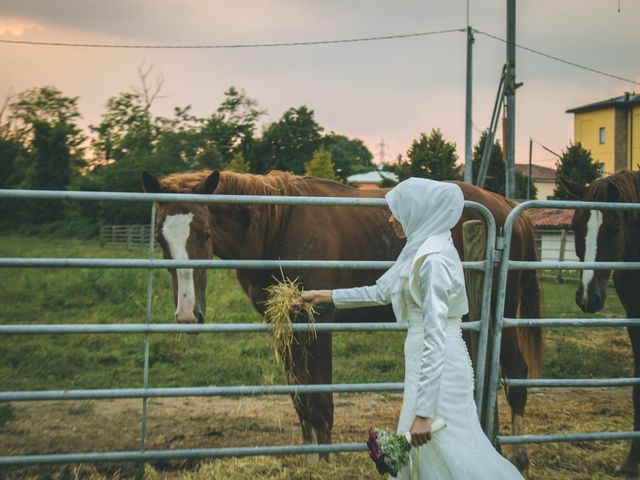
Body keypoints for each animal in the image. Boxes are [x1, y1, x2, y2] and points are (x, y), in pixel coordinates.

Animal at [140, 170, 540, 468]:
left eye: (205, 232)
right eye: (160, 239)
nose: (187, 314)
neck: (277, 226)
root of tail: (506, 208)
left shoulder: (319, 324)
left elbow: (321, 401)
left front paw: (326, 461)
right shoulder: (285, 326)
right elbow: (301, 399)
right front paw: (310, 462)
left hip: (499, 313)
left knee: (516, 374)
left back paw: (518, 454)